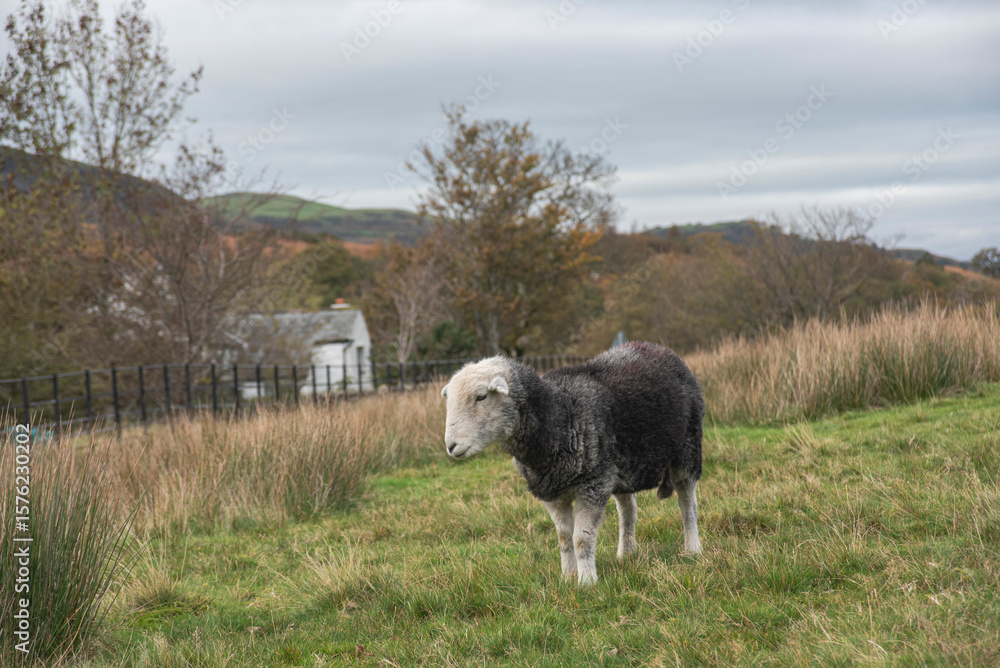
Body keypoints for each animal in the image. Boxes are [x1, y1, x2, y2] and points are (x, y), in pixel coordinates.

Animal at [441, 341, 704, 585]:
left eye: (481, 397)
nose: (450, 446)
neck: (558, 415)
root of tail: (657, 347)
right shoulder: (552, 491)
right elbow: (564, 537)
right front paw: (567, 578)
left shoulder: (592, 484)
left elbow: (581, 538)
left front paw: (587, 582)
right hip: (621, 467)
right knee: (628, 510)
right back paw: (626, 554)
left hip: (688, 450)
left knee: (687, 504)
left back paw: (692, 549)